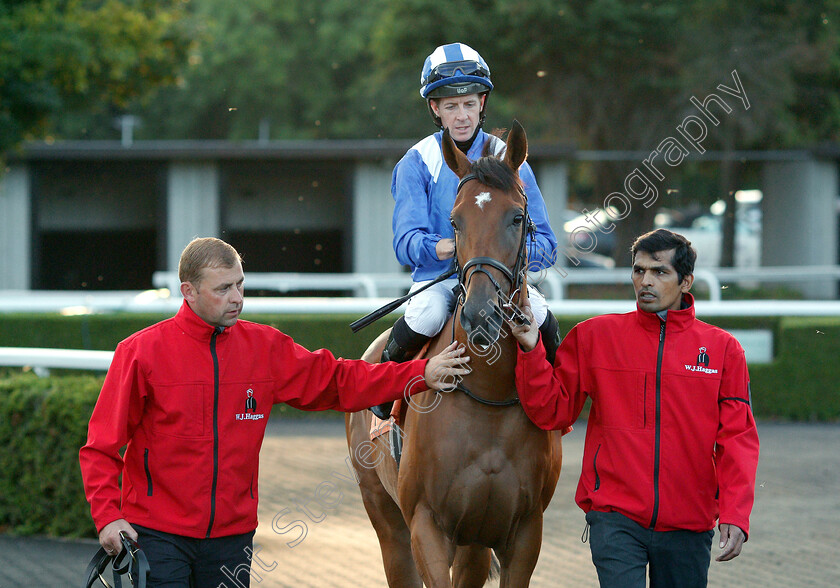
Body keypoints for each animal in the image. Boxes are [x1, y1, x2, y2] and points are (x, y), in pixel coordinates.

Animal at [344, 121, 560, 584]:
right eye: (455, 221)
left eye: (517, 217)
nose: (481, 314)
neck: (489, 397)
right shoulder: (426, 524)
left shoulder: (524, 531)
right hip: (385, 517)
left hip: (474, 540)